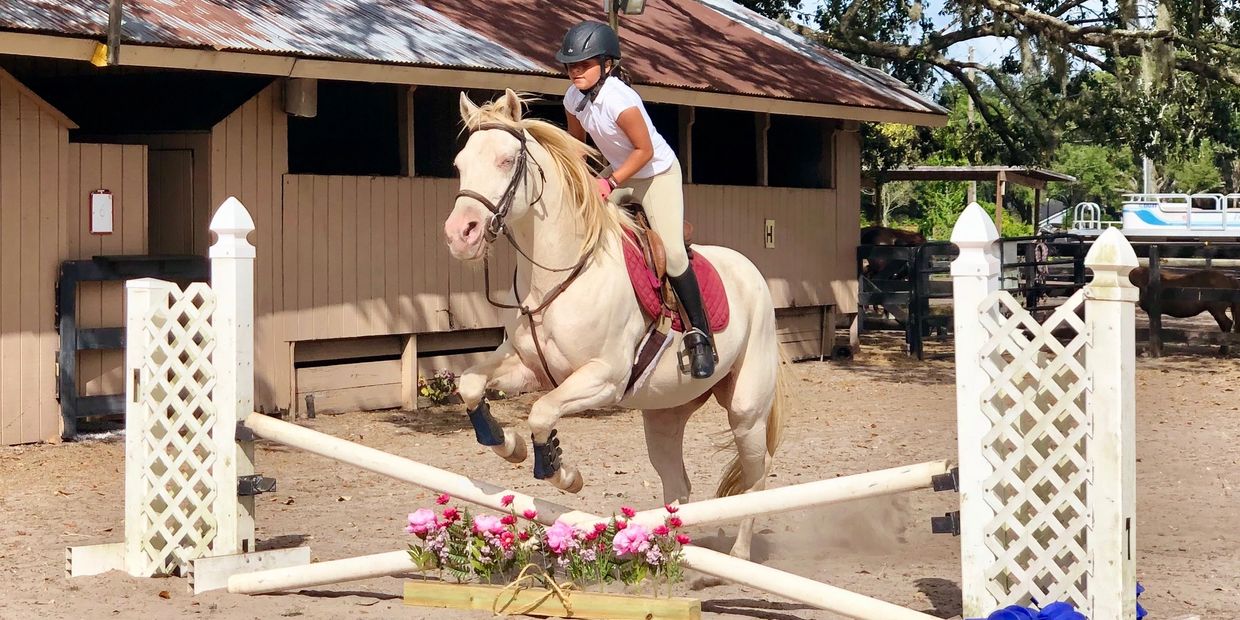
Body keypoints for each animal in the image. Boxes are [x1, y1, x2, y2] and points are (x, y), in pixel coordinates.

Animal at [442, 90, 789, 562]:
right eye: (460, 163)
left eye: (506, 160)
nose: (461, 234)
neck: (560, 273)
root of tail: (753, 273)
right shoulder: (528, 368)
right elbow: (472, 385)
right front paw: (508, 445)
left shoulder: (603, 378)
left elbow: (542, 413)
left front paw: (563, 474)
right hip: (665, 412)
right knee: (677, 484)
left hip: (745, 410)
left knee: (757, 476)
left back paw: (737, 555)